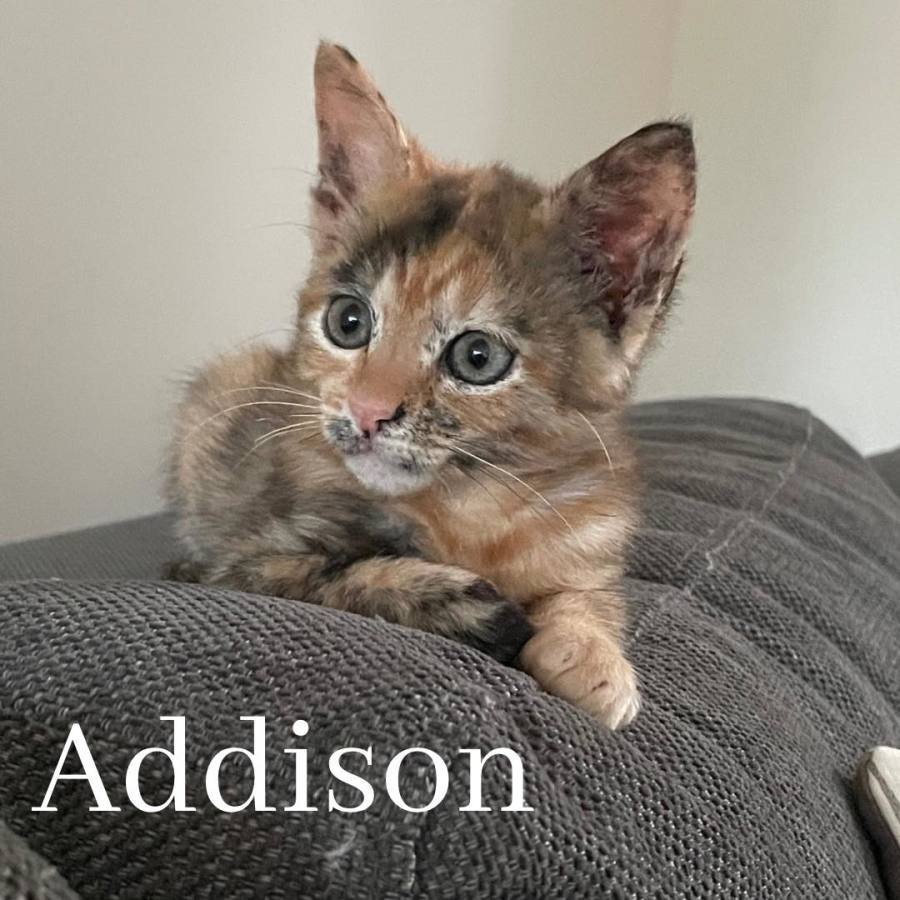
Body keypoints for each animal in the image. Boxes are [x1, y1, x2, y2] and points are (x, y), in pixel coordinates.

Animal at [166, 42, 695, 730]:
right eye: (348, 322)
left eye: (477, 357)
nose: (366, 411)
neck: (471, 508)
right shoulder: (233, 561)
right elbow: (339, 578)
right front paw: (463, 603)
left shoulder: (590, 534)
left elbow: (587, 595)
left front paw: (591, 652)